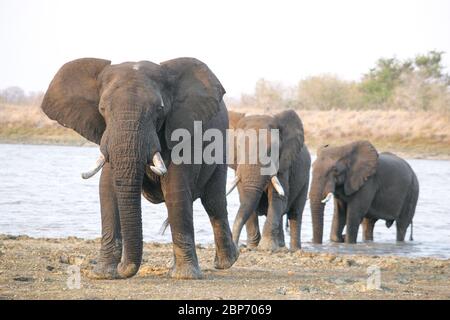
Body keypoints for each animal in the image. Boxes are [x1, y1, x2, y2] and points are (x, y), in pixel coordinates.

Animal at [40, 58, 239, 280]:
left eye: (160, 109)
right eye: (102, 108)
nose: (123, 267)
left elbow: (175, 187)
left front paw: (185, 276)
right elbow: (107, 189)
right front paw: (104, 274)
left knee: (213, 201)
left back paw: (226, 262)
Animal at [227, 110, 312, 252]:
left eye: (271, 150)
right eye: (238, 147)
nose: (235, 245)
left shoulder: (283, 166)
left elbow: (278, 198)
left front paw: (266, 247)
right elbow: (245, 198)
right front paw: (252, 247)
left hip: (305, 178)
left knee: (295, 214)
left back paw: (294, 250)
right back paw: (281, 246)